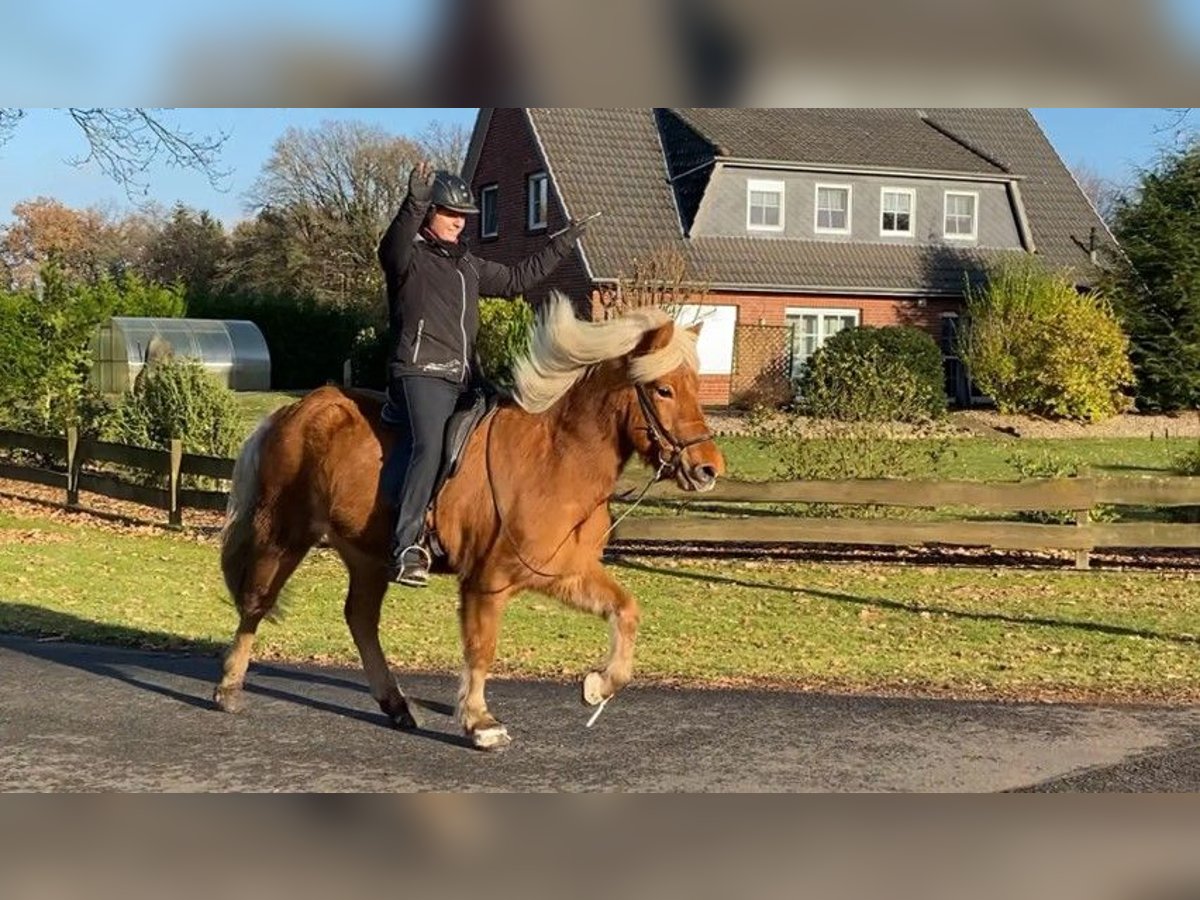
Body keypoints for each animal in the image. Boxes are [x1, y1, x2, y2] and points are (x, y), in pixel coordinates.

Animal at [211, 292, 724, 748]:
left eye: (695, 387)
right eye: (663, 389)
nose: (708, 469)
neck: (556, 462)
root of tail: (295, 410)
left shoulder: (564, 572)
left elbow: (626, 609)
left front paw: (599, 684)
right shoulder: (487, 582)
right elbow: (481, 649)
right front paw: (480, 722)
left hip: (367, 554)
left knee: (360, 618)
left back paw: (396, 705)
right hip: (284, 533)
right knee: (257, 601)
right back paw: (229, 687)